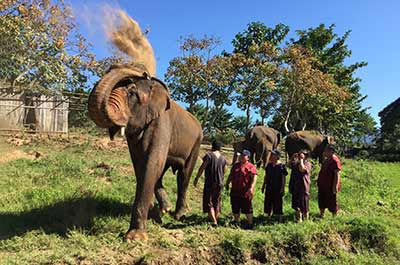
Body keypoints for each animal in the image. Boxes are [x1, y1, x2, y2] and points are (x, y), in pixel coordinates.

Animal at [89, 63, 205, 239]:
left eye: (131, 93)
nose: (144, 71)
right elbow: (141, 164)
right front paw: (155, 217)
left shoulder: (162, 122)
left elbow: (152, 162)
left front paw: (135, 237)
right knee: (163, 172)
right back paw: (165, 209)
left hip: (197, 143)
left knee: (183, 176)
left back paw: (179, 215)